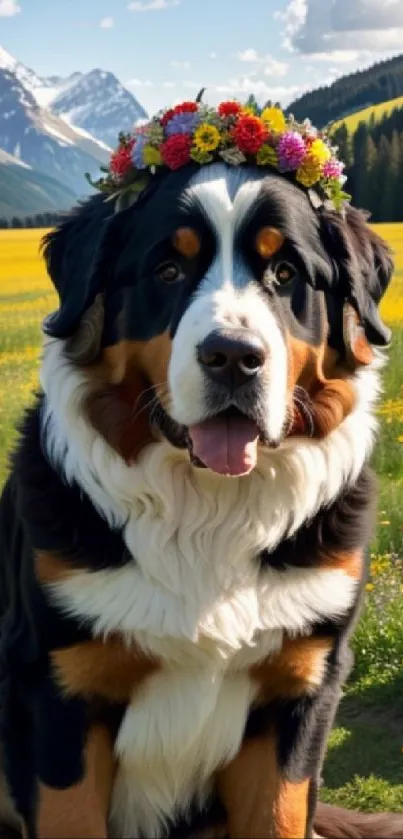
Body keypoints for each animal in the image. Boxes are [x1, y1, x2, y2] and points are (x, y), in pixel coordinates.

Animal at [0, 164, 403, 839]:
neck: (209, 511)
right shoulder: (60, 689)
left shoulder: (298, 690)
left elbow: (281, 817)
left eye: (286, 273)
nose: (234, 357)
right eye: (168, 270)